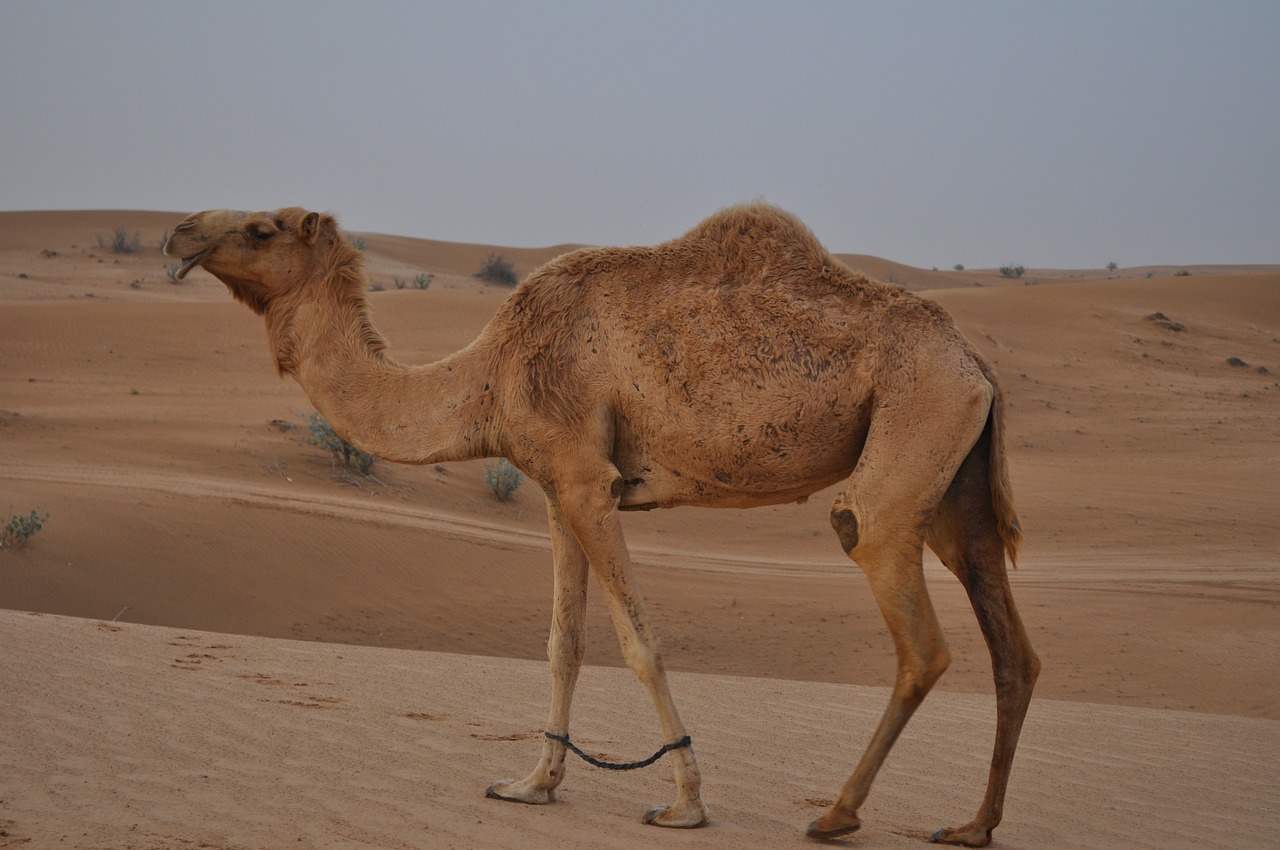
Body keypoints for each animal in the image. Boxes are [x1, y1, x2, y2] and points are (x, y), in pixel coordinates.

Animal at [165, 202, 1039, 844]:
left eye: (261, 227)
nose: (177, 231)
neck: (488, 374)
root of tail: (974, 363)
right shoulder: (558, 487)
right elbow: (564, 644)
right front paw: (533, 784)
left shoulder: (588, 480)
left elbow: (638, 643)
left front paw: (684, 802)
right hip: (954, 482)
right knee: (1013, 650)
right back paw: (973, 825)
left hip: (907, 443)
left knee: (915, 629)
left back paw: (835, 813)